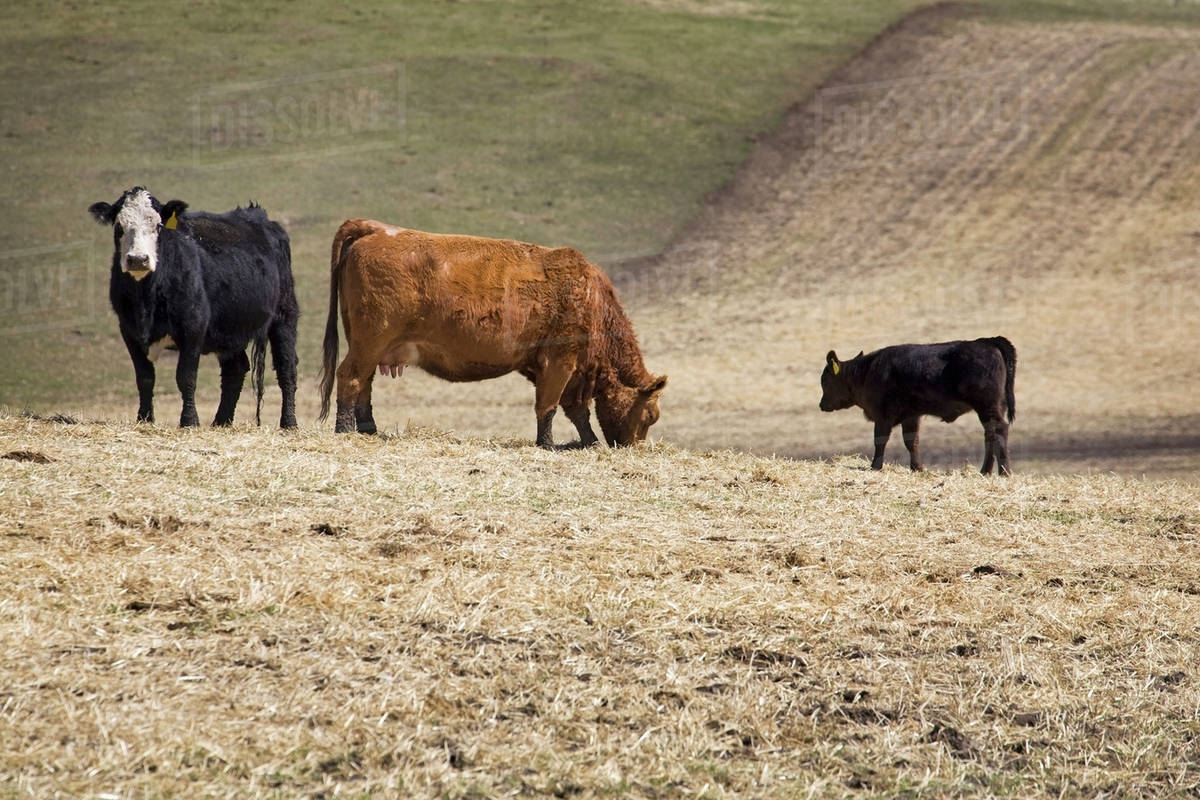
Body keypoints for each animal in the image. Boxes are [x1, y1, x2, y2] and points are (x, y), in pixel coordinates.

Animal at [88, 187, 299, 429]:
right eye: (118, 227)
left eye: (158, 226)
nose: (138, 259)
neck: (146, 300)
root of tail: (259, 216)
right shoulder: (129, 330)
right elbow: (145, 377)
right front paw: (144, 419)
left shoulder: (193, 327)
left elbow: (185, 376)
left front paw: (189, 421)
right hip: (230, 330)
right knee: (235, 370)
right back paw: (221, 422)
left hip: (284, 315)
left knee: (286, 367)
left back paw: (289, 423)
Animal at [317, 219, 667, 448]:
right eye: (649, 416)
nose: (633, 448)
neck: (591, 297)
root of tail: (377, 229)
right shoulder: (560, 360)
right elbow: (549, 406)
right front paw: (547, 444)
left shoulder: (567, 370)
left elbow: (575, 411)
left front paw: (590, 441)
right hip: (370, 341)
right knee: (349, 376)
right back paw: (345, 430)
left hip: (370, 346)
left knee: (364, 383)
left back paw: (368, 429)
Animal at [819, 337, 1016, 475]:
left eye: (825, 381)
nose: (821, 404)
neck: (867, 372)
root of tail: (987, 341)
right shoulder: (911, 416)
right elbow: (911, 441)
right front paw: (917, 468)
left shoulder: (883, 416)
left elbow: (880, 440)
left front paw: (875, 466)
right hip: (993, 408)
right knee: (990, 435)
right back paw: (985, 471)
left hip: (987, 407)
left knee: (999, 430)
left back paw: (1004, 472)